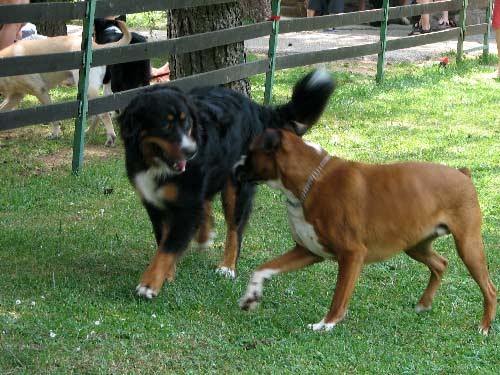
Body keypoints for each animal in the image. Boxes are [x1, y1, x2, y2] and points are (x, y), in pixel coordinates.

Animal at [118, 70, 336, 300]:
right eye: (165, 125)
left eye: (186, 124)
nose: (191, 151)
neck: (156, 166)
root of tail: (255, 107)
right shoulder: (155, 204)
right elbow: (164, 240)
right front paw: (166, 274)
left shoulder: (186, 205)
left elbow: (168, 248)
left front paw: (149, 284)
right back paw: (204, 235)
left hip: (236, 188)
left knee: (234, 229)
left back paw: (227, 266)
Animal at [236, 129, 498, 334]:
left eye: (250, 151)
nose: (234, 166)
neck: (310, 179)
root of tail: (463, 173)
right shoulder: (308, 252)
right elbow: (263, 269)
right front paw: (251, 296)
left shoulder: (352, 255)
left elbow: (339, 297)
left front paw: (326, 324)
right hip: (415, 245)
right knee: (441, 264)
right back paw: (424, 304)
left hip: (468, 246)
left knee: (490, 288)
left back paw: (484, 327)